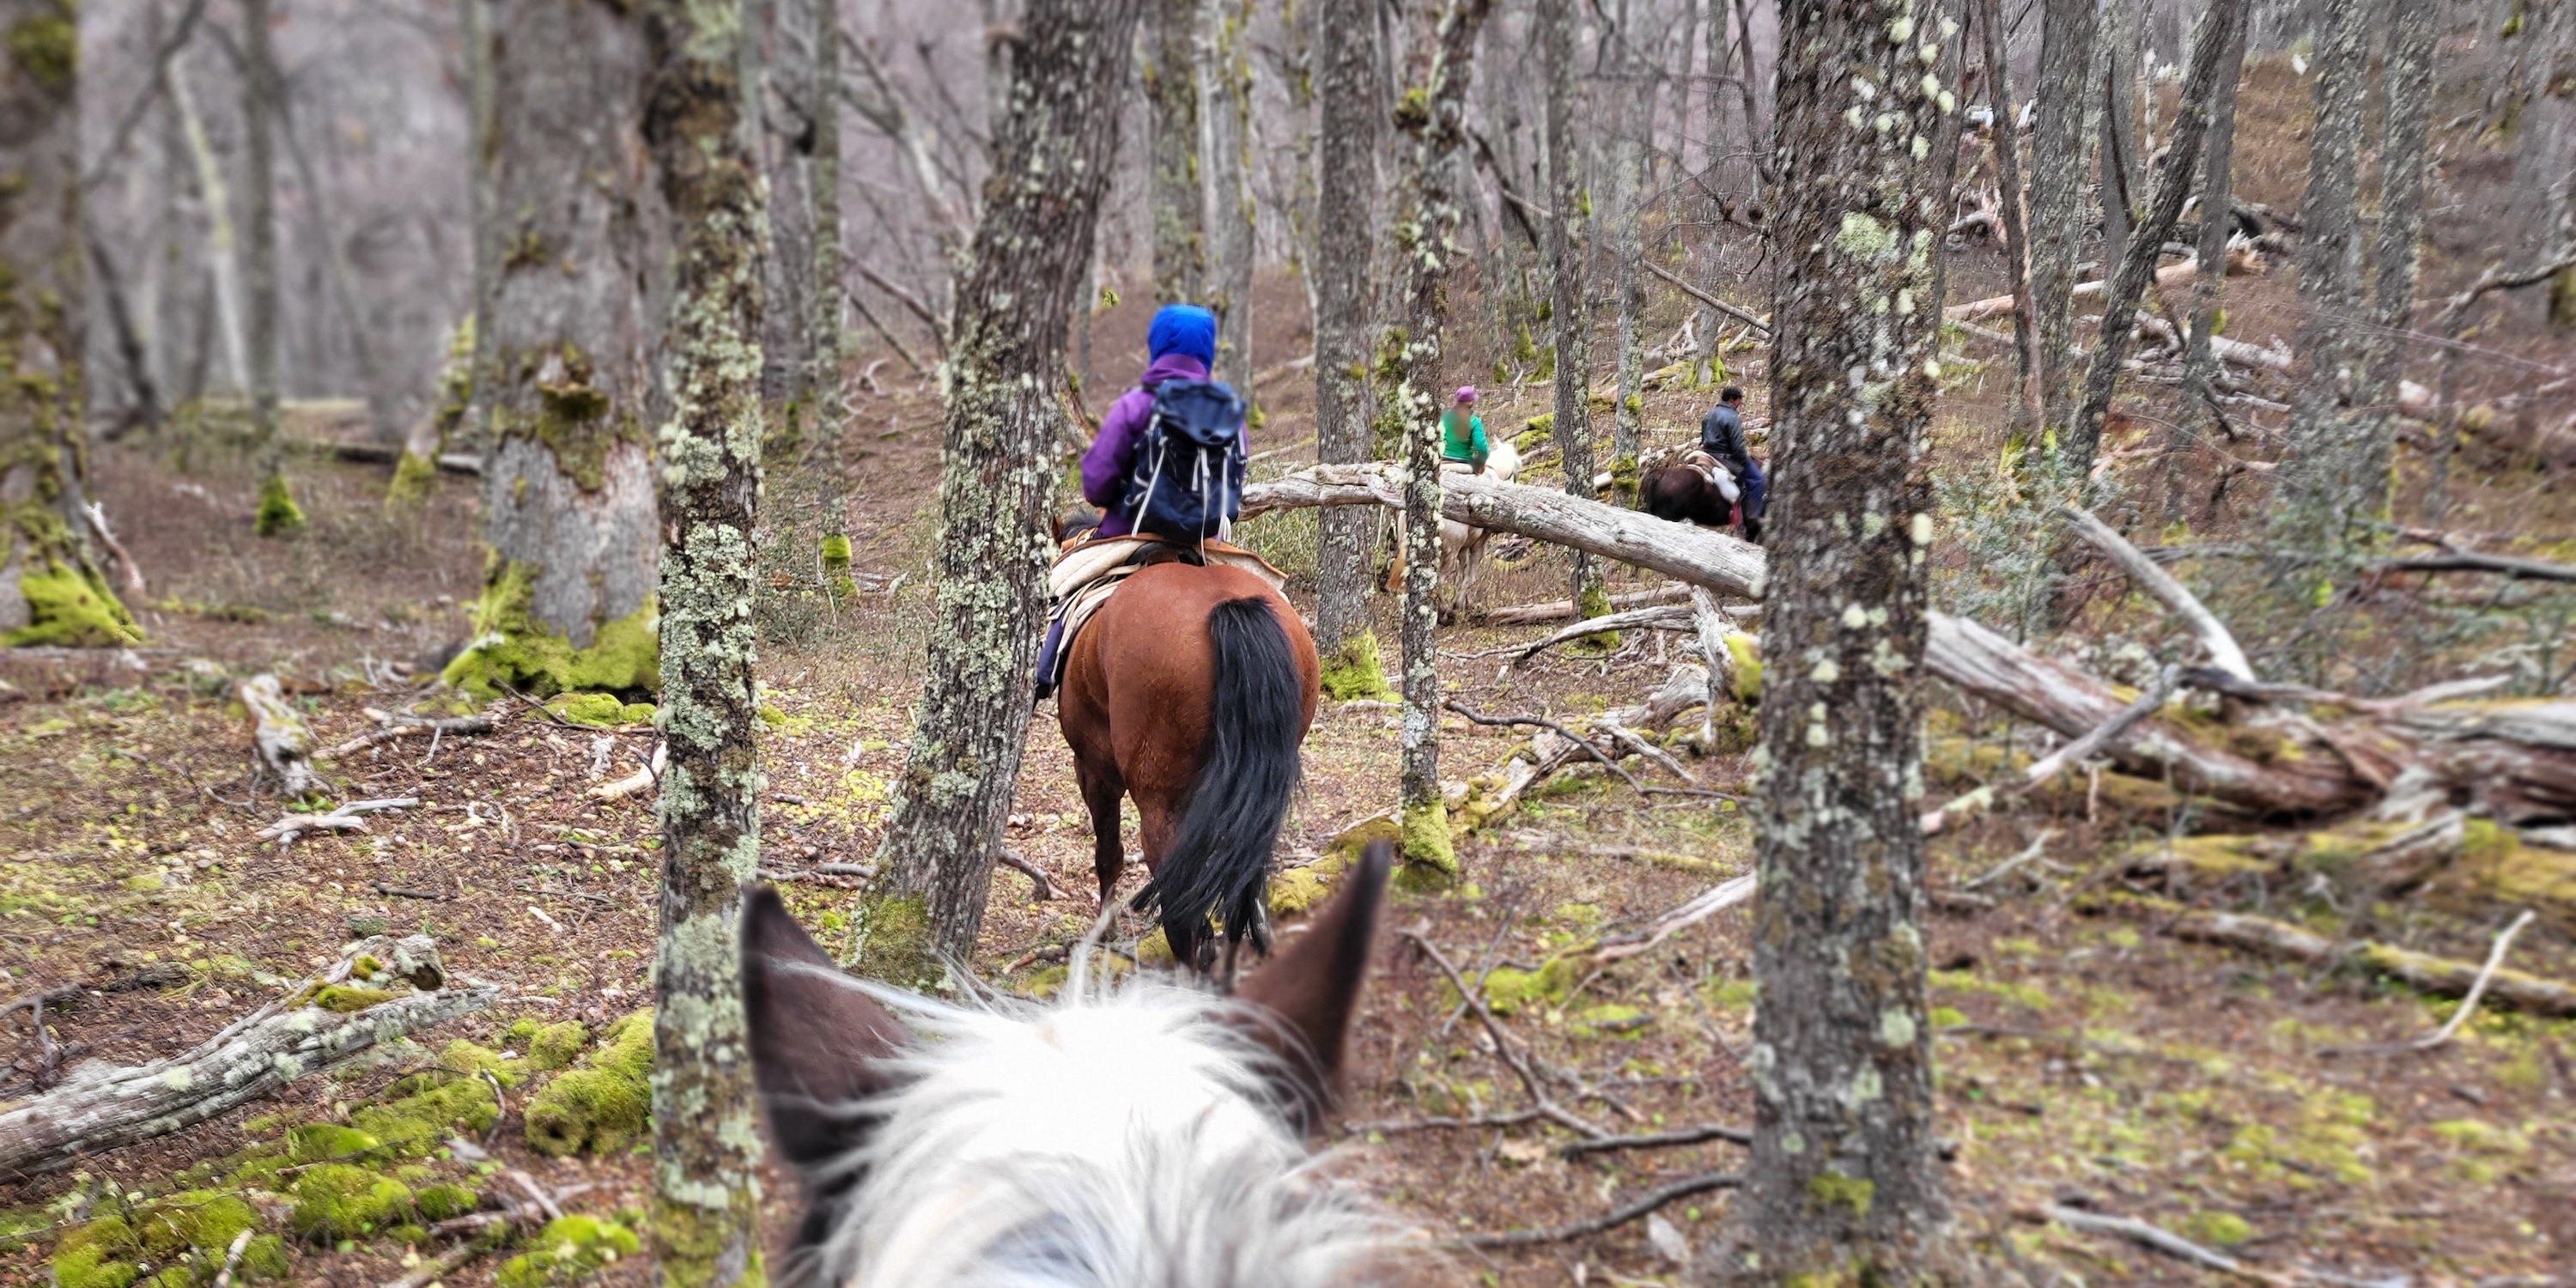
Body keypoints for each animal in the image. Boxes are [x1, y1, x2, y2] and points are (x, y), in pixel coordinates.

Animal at [1057, 551, 1322, 971]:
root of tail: (1228, 605)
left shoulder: (1094, 771)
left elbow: (1109, 854)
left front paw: (1106, 931)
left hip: (1160, 806)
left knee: (1179, 908)